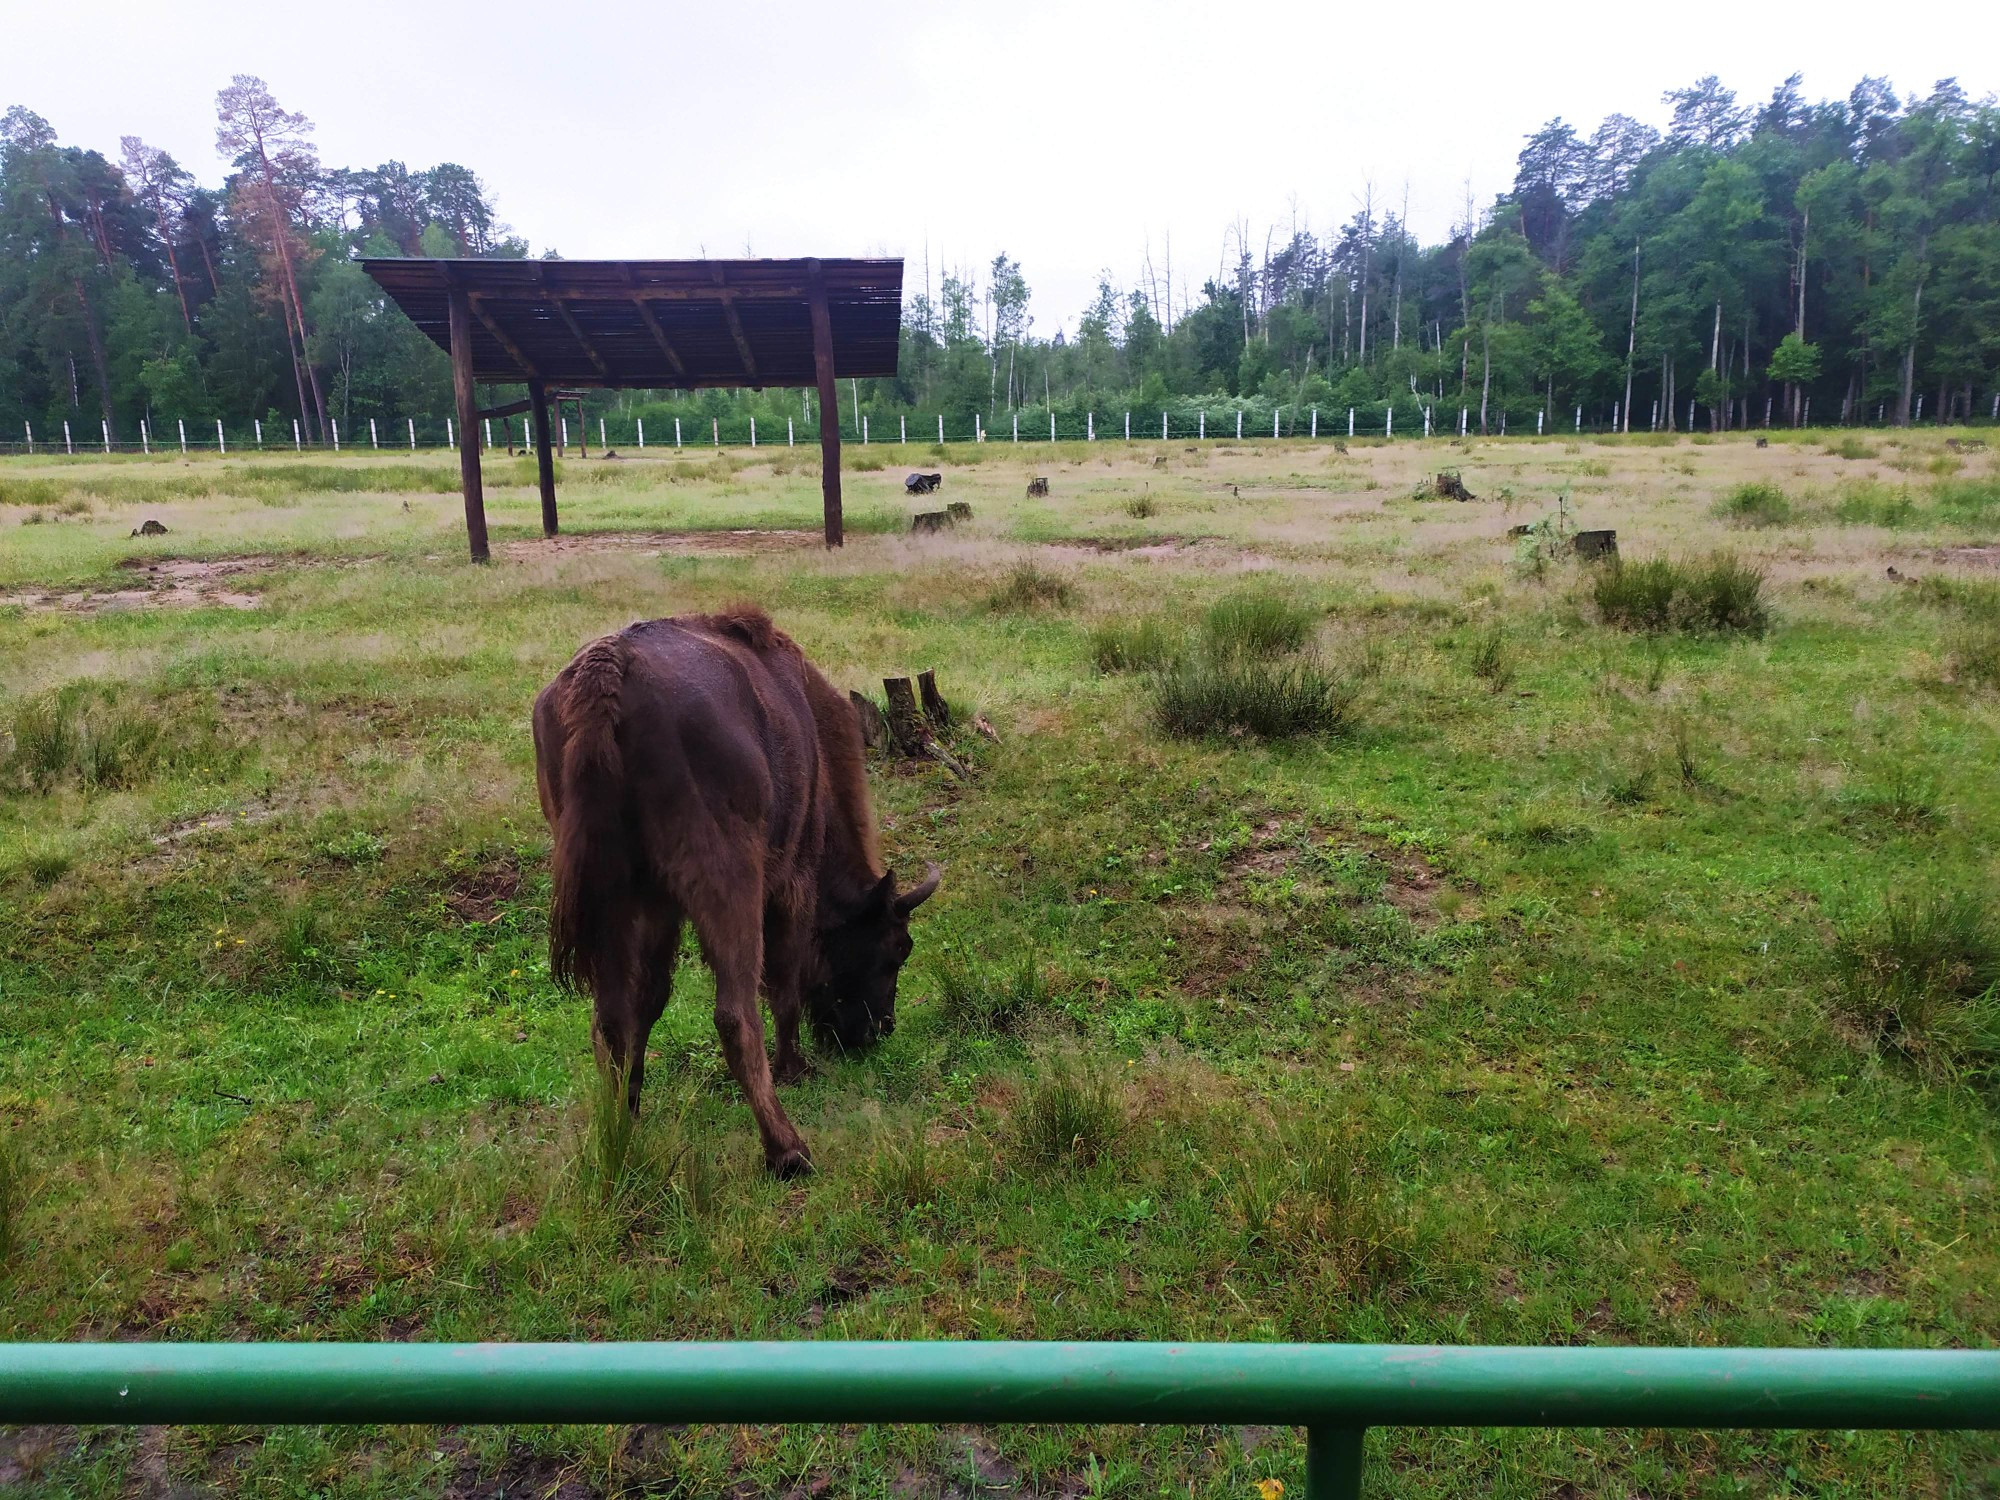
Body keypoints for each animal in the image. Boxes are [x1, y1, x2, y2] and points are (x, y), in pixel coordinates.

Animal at [532, 604, 936, 1184]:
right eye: (897, 948)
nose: (878, 1030)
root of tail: (608, 672)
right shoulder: (791, 882)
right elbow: (784, 983)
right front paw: (795, 1068)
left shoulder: (657, 907)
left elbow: (648, 1000)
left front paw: (633, 1104)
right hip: (730, 884)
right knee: (735, 1013)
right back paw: (788, 1150)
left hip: (609, 898)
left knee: (608, 1018)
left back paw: (619, 1132)